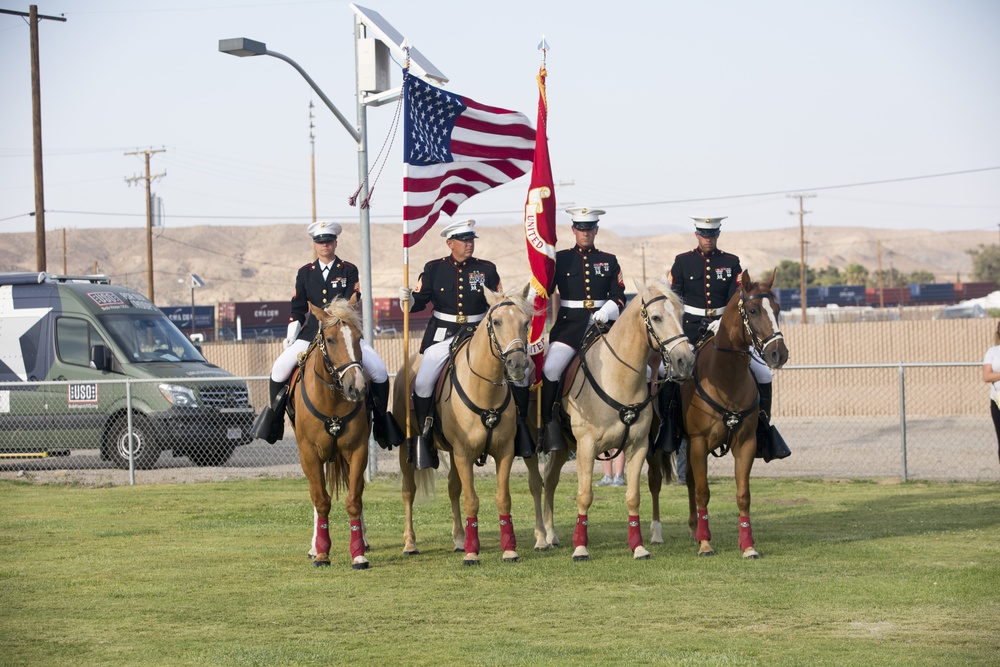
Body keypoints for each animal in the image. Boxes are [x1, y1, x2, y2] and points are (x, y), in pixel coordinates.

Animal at [292, 302, 374, 568]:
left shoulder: (358, 450)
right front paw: (321, 552)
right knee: (316, 496)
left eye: (359, 338)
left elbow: (354, 500)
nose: (356, 387)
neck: (332, 401)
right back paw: (314, 545)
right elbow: (321, 500)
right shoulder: (309, 454)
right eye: (330, 339)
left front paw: (358, 553)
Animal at [390, 284, 536, 568]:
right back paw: (410, 543)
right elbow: (472, 501)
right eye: (497, 321)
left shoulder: (503, 452)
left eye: (526, 322)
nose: (517, 365)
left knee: (452, 488)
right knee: (408, 491)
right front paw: (472, 553)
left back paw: (459, 538)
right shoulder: (464, 453)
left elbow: (503, 499)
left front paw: (508, 549)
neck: (485, 390)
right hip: (407, 448)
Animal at [524, 280, 696, 560]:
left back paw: (551, 535)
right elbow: (584, 495)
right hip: (530, 445)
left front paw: (638, 546)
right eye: (656, 317)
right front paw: (580, 547)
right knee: (536, 484)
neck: (618, 377)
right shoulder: (586, 447)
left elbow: (634, 496)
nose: (685, 361)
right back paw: (540, 538)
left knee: (549, 481)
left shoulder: (638, 447)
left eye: (681, 316)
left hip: (563, 448)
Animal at [680, 270, 788, 560]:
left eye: (777, 309)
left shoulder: (746, 443)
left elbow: (743, 495)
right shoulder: (698, 442)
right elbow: (703, 492)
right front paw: (706, 543)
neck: (725, 377)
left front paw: (748, 545)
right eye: (752, 310)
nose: (779, 354)